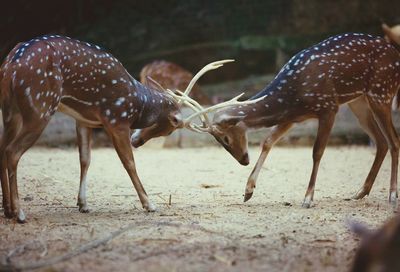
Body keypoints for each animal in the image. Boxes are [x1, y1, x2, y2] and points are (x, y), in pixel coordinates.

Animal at [0, 34, 260, 222]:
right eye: (169, 129)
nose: (137, 140)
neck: (138, 103)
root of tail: (11, 65)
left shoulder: (84, 119)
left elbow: (85, 159)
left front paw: (83, 204)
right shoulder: (115, 118)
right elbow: (129, 162)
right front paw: (149, 204)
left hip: (10, 110)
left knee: (3, 147)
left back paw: (8, 210)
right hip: (40, 106)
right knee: (12, 151)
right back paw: (20, 213)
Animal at [135, 33, 400, 208]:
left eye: (225, 137)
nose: (243, 160)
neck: (293, 94)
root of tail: (396, 55)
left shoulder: (328, 107)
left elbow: (317, 152)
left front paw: (307, 198)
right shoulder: (294, 116)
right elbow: (268, 142)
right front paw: (248, 191)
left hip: (381, 92)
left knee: (393, 140)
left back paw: (391, 195)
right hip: (359, 101)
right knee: (381, 141)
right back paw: (360, 192)